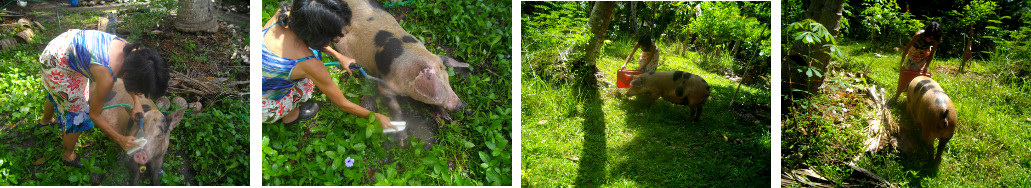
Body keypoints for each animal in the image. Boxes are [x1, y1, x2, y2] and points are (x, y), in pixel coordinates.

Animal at [331, 0, 470, 118]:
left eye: (448, 79)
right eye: (438, 90)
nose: (460, 105)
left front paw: (447, 117)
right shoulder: (384, 83)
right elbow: (394, 107)